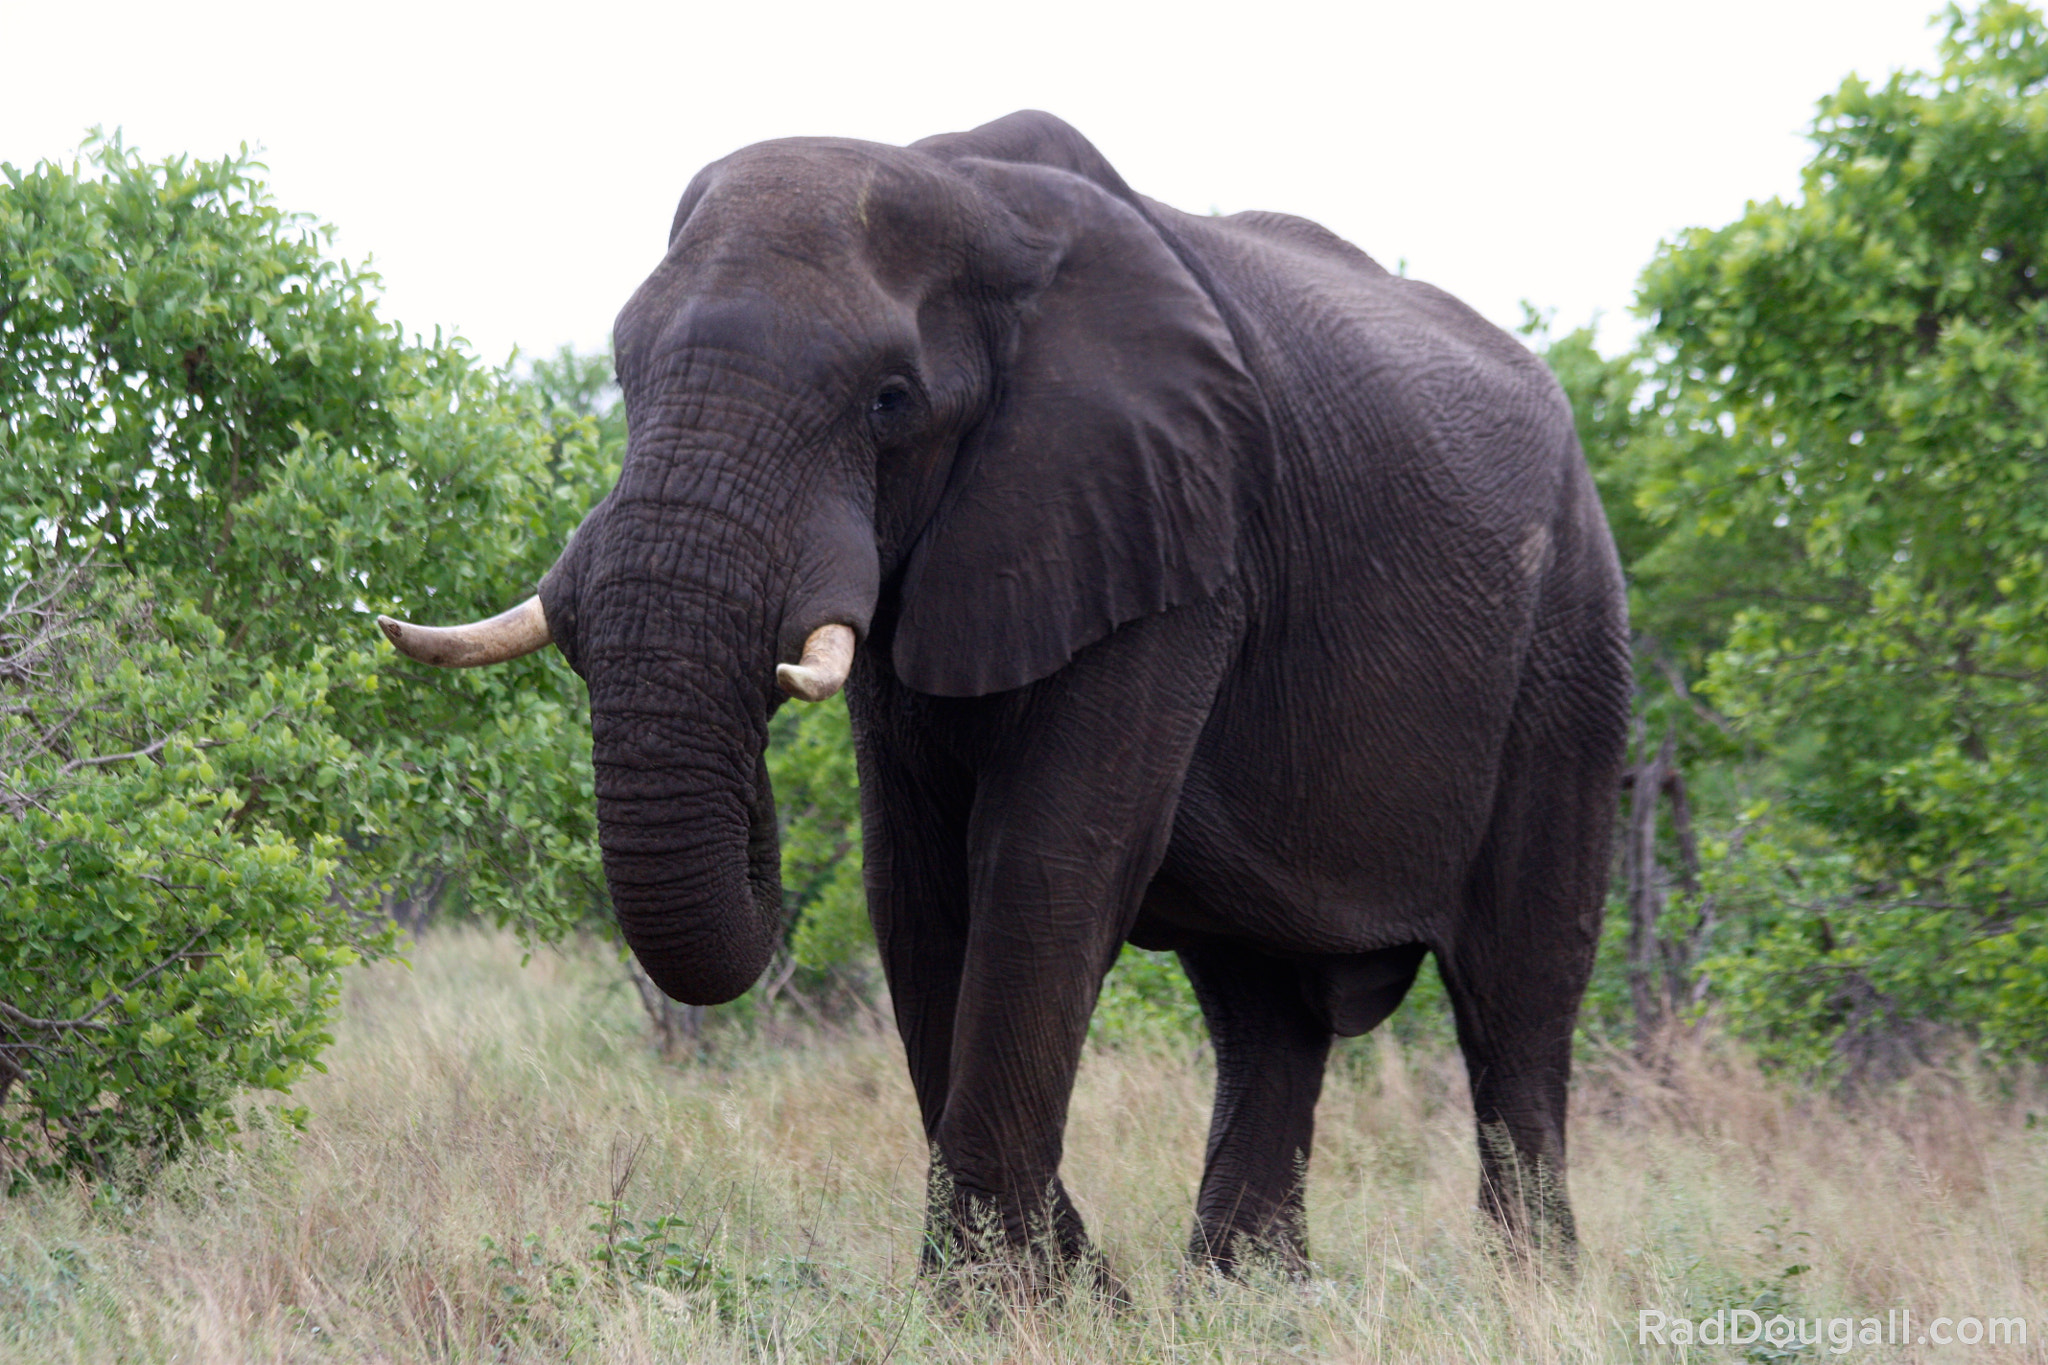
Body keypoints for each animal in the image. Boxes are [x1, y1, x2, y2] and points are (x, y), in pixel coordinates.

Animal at [380, 111, 1631, 1279]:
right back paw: (1246, 1301)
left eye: (889, 402)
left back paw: (1526, 1296)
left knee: (1516, 995)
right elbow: (913, 885)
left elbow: (1045, 863)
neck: (973, 195)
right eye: (623, 373)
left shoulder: (1172, 532)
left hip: (1570, 637)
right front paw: (1068, 1294)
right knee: (1262, 1014)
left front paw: (1002, 1306)